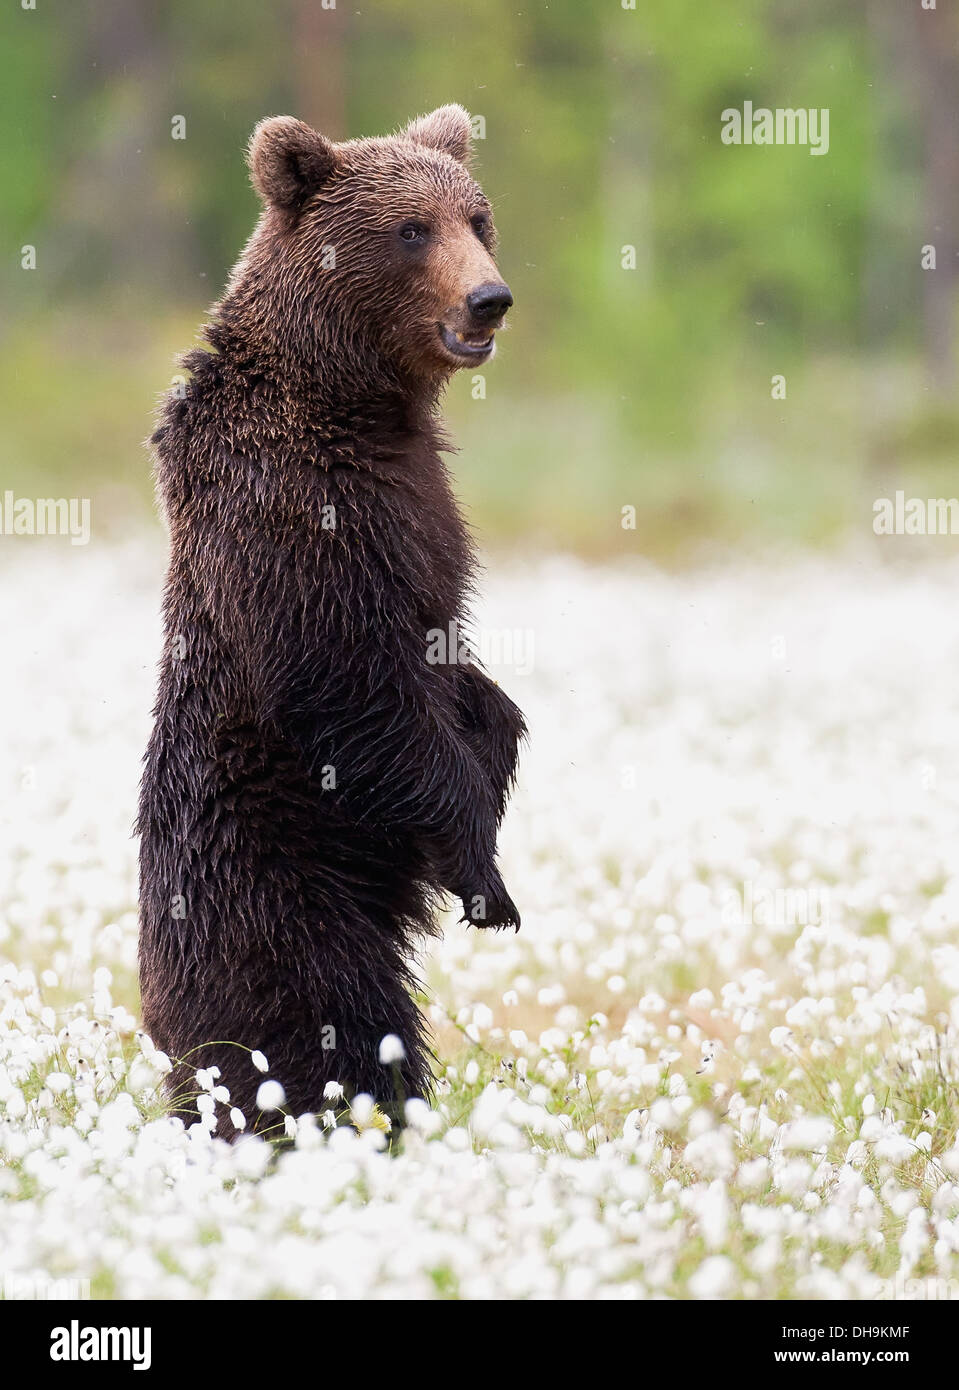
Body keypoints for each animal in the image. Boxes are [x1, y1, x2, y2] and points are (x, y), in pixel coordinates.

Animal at [136, 102, 522, 1134]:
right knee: (317, 1020)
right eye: (411, 229)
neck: (355, 398)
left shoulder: (425, 508)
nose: (489, 300)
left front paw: (499, 740)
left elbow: (469, 680)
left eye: (479, 217)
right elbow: (353, 682)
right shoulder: (298, 516)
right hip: (270, 880)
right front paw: (485, 875)